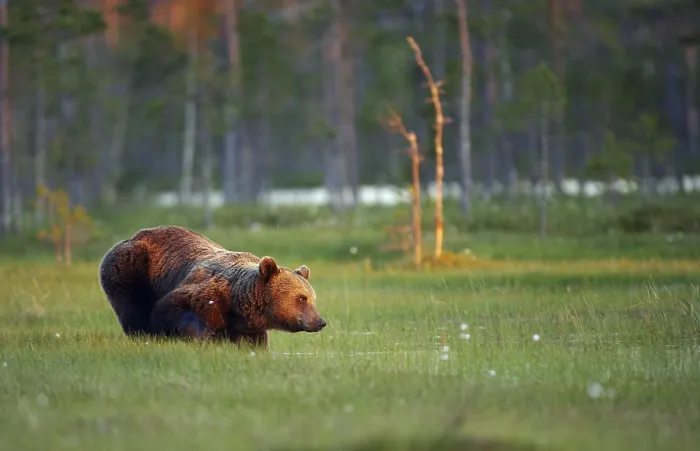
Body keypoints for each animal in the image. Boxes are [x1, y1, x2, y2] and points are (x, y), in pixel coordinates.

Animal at [98, 225, 326, 349]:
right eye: (301, 298)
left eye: (313, 299)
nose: (320, 322)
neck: (237, 304)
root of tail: (131, 237)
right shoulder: (205, 294)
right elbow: (171, 309)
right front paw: (202, 339)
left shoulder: (248, 326)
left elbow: (254, 343)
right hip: (130, 270)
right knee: (134, 309)